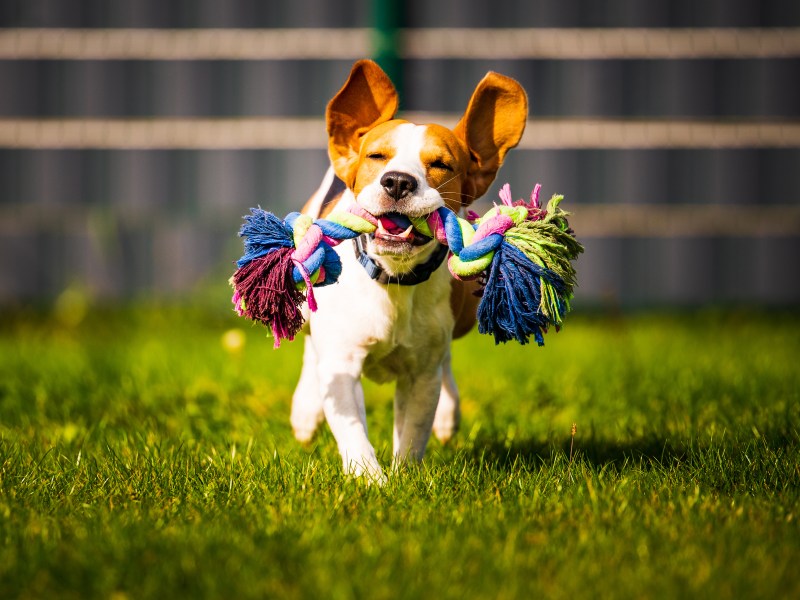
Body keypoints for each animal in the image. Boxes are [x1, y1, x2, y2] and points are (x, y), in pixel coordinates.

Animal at [290, 59, 528, 482]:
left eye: (441, 164)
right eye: (376, 157)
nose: (399, 181)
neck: (393, 278)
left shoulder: (421, 374)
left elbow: (414, 431)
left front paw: (403, 478)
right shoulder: (343, 364)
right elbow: (352, 429)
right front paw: (370, 480)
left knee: (446, 363)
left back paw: (448, 414)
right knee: (309, 347)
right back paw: (305, 410)